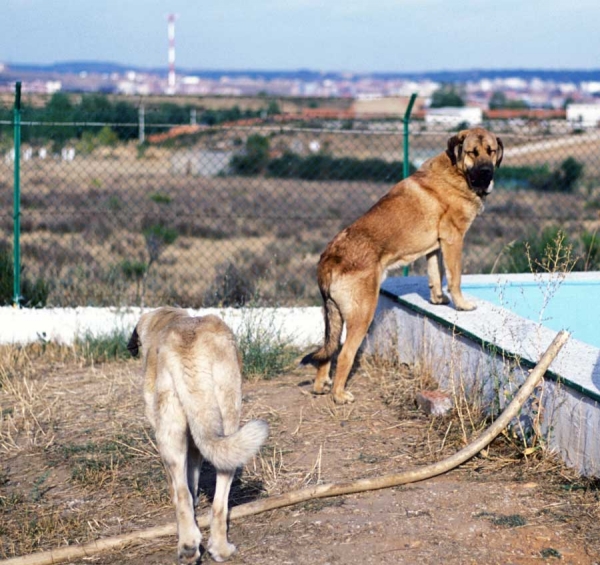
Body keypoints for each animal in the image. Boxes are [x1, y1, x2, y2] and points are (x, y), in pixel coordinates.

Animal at [129, 306, 270, 560]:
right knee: (219, 501)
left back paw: (187, 545)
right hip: (227, 417)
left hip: (169, 434)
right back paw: (219, 548)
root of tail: (190, 346)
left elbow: (181, 487)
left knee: (181, 494)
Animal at [302, 126, 504, 406]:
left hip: (335, 318)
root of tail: (329, 258)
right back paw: (340, 395)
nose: (486, 173)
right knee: (344, 354)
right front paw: (462, 305)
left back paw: (322, 386)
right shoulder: (453, 239)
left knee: (327, 352)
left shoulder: (435, 246)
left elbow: (435, 274)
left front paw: (437, 300)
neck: (456, 172)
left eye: (491, 151)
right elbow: (454, 277)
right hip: (363, 315)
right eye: (473, 152)